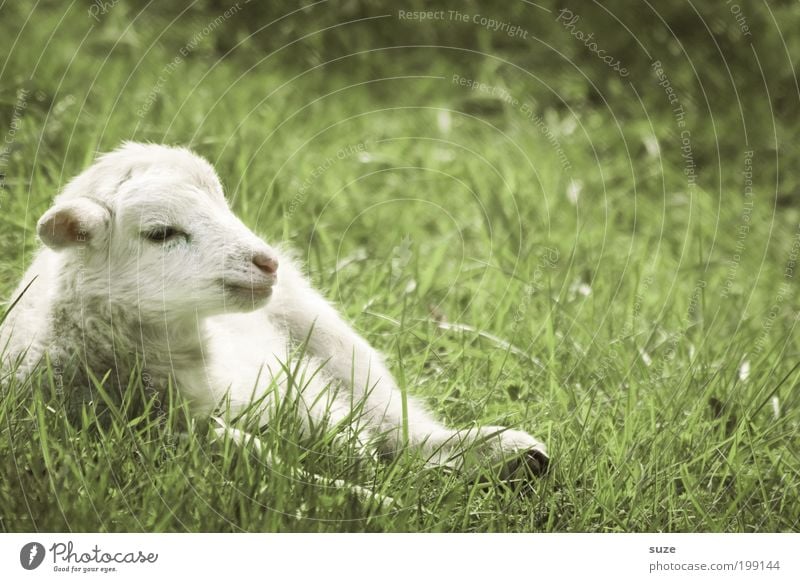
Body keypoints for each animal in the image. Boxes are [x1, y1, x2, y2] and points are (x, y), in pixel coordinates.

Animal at [0, 144, 552, 482]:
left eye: (224, 204)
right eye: (160, 232)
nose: (267, 262)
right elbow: (266, 461)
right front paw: (363, 492)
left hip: (331, 333)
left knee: (399, 421)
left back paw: (509, 454)